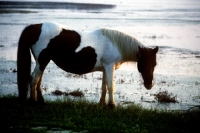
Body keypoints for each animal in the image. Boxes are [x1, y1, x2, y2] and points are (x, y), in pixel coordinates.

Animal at [16, 21, 158, 107]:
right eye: (144, 63)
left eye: (155, 64)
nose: (150, 84)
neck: (115, 44)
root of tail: (35, 27)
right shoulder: (109, 66)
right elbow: (111, 86)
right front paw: (112, 106)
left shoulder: (105, 68)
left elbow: (104, 87)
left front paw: (102, 104)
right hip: (42, 60)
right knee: (34, 79)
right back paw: (33, 102)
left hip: (42, 62)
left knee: (38, 80)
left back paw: (41, 101)